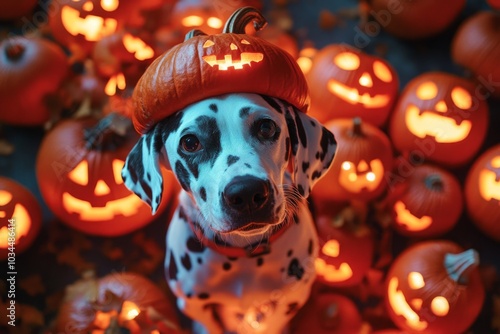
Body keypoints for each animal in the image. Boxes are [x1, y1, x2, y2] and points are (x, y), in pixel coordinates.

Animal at [123, 93, 338, 334]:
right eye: (190, 142)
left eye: (266, 127)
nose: (246, 192)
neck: (242, 255)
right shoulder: (192, 305)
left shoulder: (291, 300)